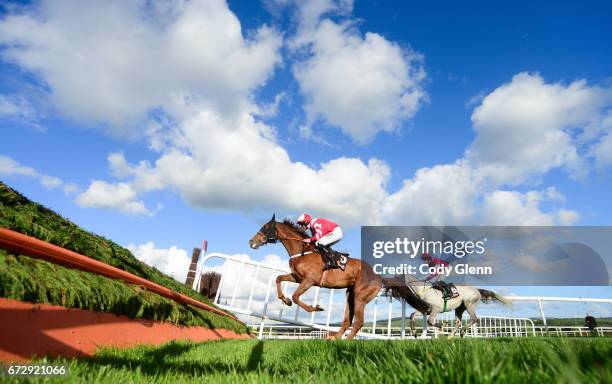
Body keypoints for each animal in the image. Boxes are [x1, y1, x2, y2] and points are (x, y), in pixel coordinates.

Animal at [249, 216, 430, 340]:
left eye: (265, 227)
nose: (251, 242)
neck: (302, 251)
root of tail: (378, 276)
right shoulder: (297, 277)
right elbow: (279, 278)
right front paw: (285, 300)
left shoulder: (309, 280)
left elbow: (296, 296)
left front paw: (315, 308)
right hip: (350, 295)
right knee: (347, 321)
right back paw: (335, 338)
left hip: (360, 296)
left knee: (358, 322)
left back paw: (347, 340)